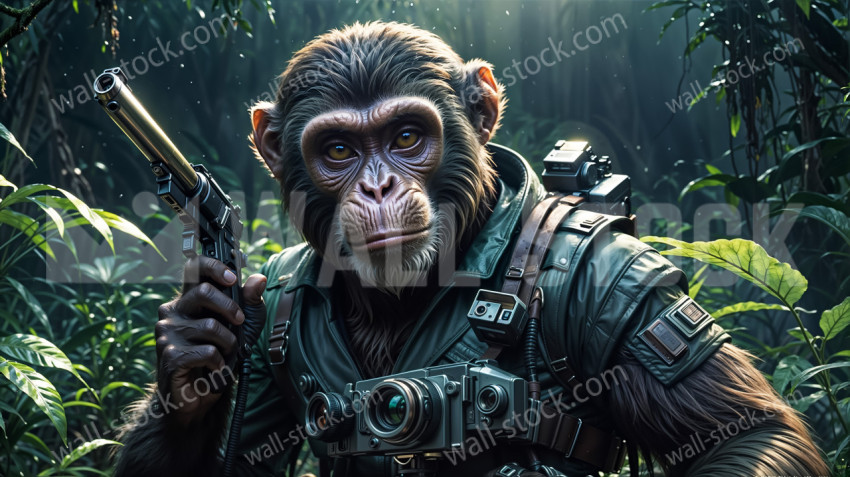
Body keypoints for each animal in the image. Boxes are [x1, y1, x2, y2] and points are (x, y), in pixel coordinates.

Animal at [114, 21, 830, 476]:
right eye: (338, 150)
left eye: (406, 136)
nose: (378, 186)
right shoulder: (270, 305)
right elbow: (237, 447)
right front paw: (190, 344)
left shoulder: (613, 280)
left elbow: (747, 434)